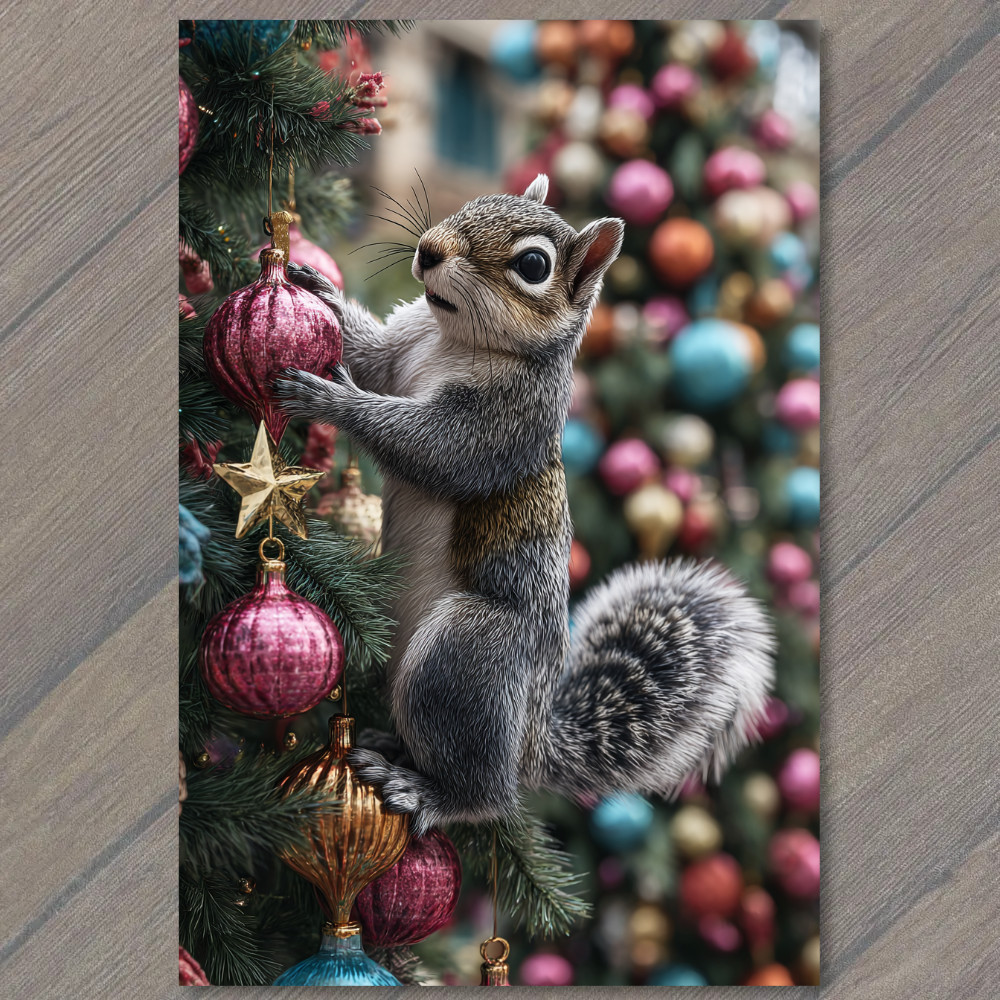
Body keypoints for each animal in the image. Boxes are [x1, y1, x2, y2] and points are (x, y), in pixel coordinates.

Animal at [275, 175, 774, 834]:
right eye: (474, 205)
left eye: (533, 265)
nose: (429, 250)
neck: (452, 338)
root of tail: (528, 744)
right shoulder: (401, 349)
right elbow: (370, 354)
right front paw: (321, 291)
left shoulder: (506, 422)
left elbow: (431, 449)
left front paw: (329, 396)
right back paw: (390, 746)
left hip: (467, 659)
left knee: (485, 795)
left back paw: (428, 794)